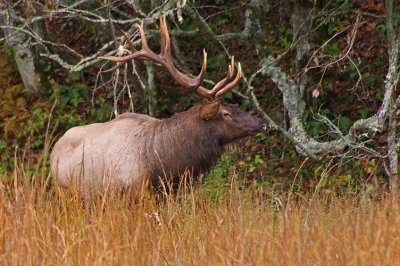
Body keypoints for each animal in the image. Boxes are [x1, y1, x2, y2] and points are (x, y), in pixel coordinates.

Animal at [50, 15, 268, 197]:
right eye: (225, 113)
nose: (262, 124)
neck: (162, 165)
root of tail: (52, 152)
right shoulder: (133, 193)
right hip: (65, 193)